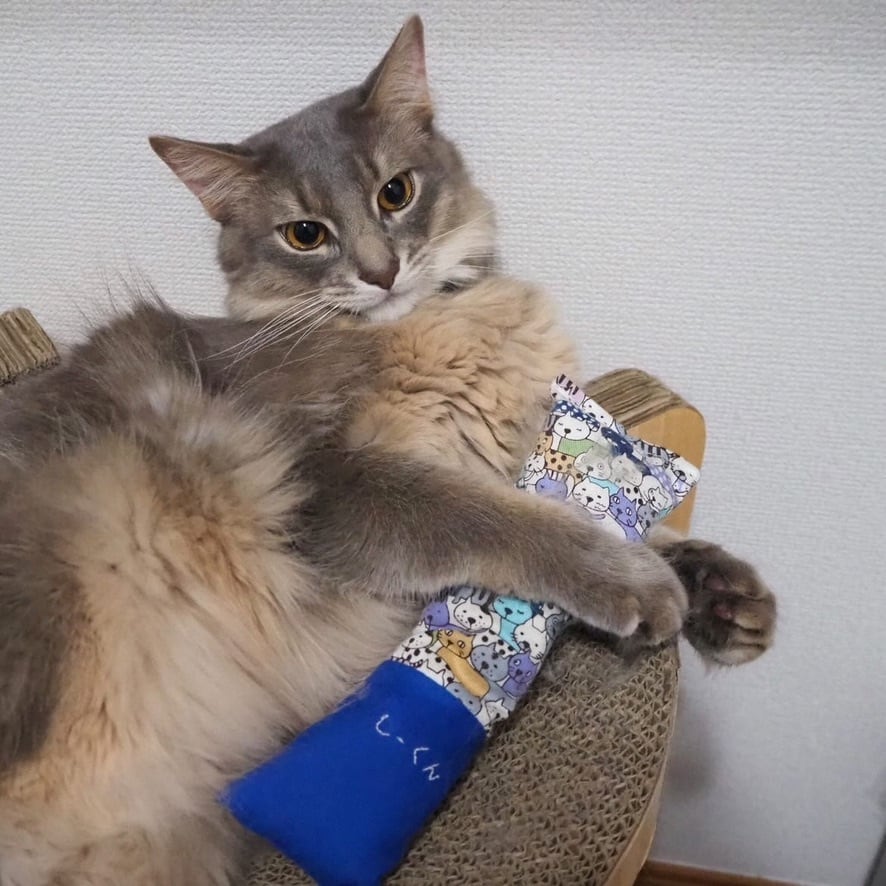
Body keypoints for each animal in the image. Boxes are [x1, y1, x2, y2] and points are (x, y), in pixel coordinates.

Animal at [0, 16, 775, 885]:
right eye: (305, 235)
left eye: (394, 193)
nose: (380, 271)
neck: (444, 328)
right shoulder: (337, 486)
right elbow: (505, 521)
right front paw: (639, 583)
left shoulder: (519, 454)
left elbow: (613, 510)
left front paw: (724, 594)